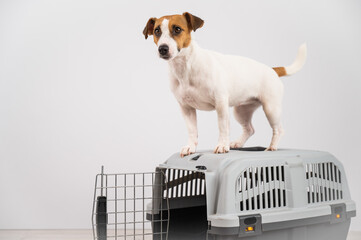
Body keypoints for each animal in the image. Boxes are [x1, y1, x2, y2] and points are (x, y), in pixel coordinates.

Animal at [142, 12, 306, 157]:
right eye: (157, 31)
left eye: (177, 29)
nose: (162, 48)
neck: (186, 67)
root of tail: (271, 69)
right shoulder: (186, 108)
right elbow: (192, 130)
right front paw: (190, 147)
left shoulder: (220, 104)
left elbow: (222, 127)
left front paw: (222, 145)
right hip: (241, 111)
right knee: (249, 129)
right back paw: (238, 143)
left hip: (271, 109)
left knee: (278, 129)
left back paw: (272, 147)